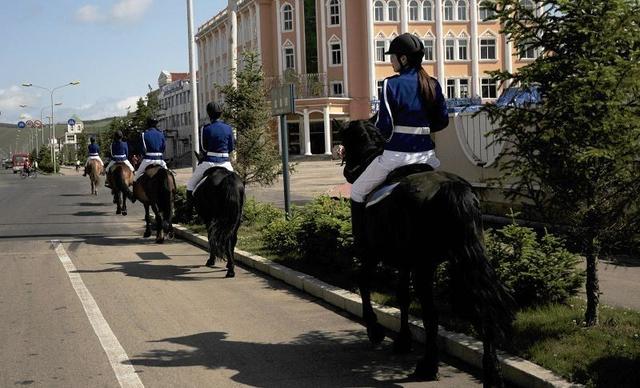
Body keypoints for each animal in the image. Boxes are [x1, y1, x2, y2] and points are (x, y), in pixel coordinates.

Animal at [338, 119, 512, 386]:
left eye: (345, 142)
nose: (348, 171)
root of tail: (451, 187)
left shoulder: (371, 253)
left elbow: (364, 282)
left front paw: (375, 330)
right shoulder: (404, 262)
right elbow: (402, 296)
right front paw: (403, 340)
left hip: (425, 266)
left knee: (432, 314)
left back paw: (428, 366)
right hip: (463, 261)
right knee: (481, 305)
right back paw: (492, 373)